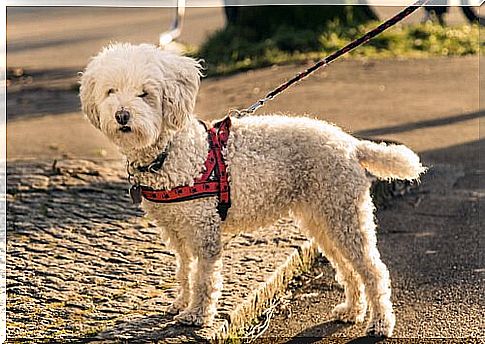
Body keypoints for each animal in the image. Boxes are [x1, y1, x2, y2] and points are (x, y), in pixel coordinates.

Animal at [79, 42, 424, 336]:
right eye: (111, 91)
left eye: (145, 94)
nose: (121, 115)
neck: (171, 152)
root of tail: (351, 144)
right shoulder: (176, 231)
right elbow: (184, 271)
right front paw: (181, 304)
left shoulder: (203, 228)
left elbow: (204, 278)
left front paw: (197, 315)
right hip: (323, 220)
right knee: (348, 269)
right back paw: (352, 311)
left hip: (345, 217)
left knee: (374, 270)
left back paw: (381, 323)